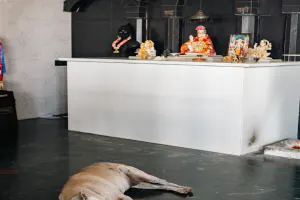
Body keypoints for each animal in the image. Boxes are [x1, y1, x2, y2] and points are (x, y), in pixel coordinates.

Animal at [59, 162, 192, 200]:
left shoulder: (121, 196)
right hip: (140, 184)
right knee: (161, 186)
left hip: (140, 174)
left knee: (163, 181)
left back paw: (183, 188)